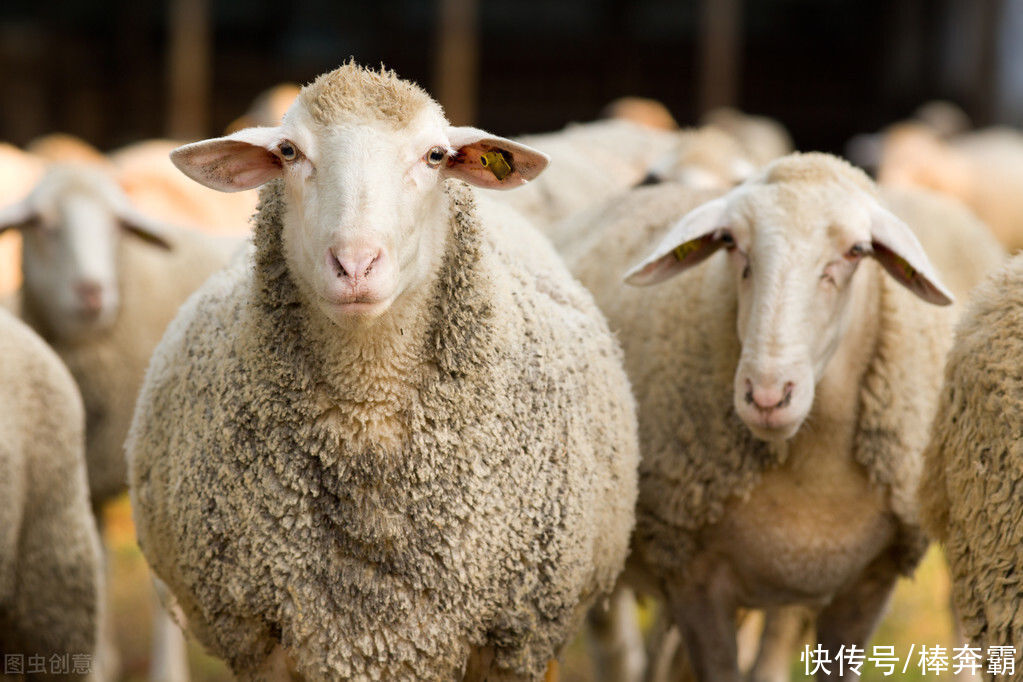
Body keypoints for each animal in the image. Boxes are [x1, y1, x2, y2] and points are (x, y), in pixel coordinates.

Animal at [125, 61, 638, 678]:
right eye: (289, 152)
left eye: (435, 156)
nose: (355, 264)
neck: (368, 413)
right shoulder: (258, 634)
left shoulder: (514, 638)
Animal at [572, 153, 961, 682]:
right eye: (730, 243)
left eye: (857, 250)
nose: (767, 395)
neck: (812, 479)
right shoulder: (694, 577)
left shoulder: (868, 584)